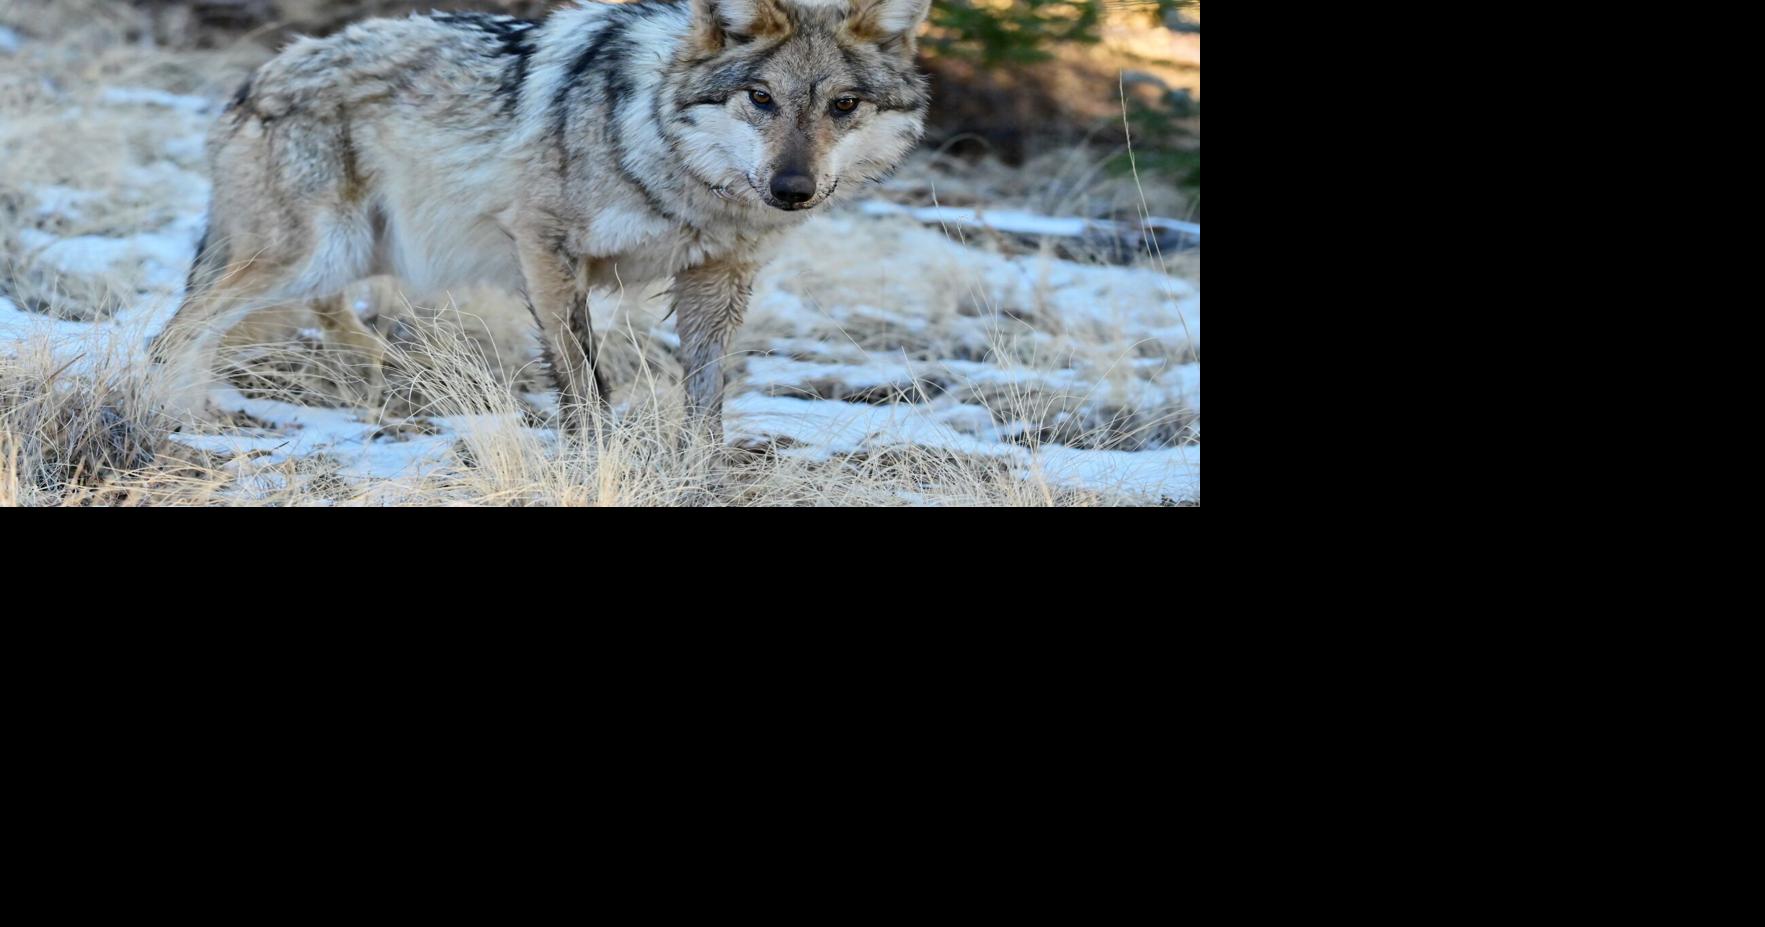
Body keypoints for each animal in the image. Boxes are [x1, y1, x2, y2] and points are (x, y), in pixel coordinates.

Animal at [152, 0, 932, 441]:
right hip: (314, 254)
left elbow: (706, 403)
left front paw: (700, 477)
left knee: (310, 317)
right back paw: (177, 420)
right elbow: (586, 386)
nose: (792, 189)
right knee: (177, 331)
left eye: (843, 106)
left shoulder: (716, 280)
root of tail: (260, 73)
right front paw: (596, 464)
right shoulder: (544, 248)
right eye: (760, 98)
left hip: (357, 256)